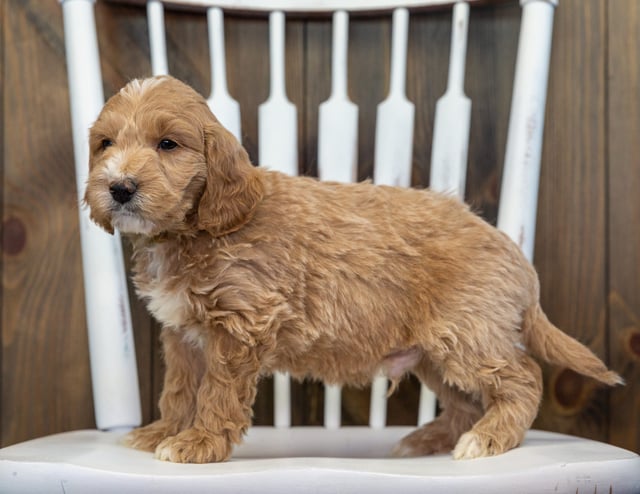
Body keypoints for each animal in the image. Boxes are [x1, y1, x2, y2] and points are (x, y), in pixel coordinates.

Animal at [84, 76, 620, 464]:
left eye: (168, 144)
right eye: (105, 144)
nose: (120, 187)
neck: (192, 232)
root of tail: (513, 252)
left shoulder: (240, 325)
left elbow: (217, 393)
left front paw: (199, 443)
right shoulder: (183, 335)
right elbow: (178, 391)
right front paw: (162, 432)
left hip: (469, 333)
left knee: (523, 378)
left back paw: (486, 439)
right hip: (434, 352)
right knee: (465, 402)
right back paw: (427, 441)